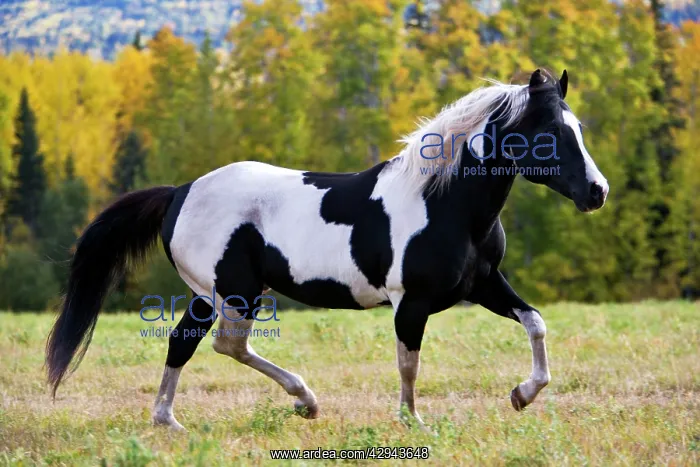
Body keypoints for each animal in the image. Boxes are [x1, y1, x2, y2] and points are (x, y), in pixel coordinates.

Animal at [46, 69, 608, 430]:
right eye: (551, 131)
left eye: (578, 127)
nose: (597, 192)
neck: (444, 203)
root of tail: (179, 192)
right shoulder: (411, 302)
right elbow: (409, 363)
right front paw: (412, 422)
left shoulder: (485, 283)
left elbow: (535, 322)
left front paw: (521, 395)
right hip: (236, 292)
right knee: (227, 345)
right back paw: (304, 401)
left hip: (210, 295)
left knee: (184, 342)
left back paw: (171, 421)